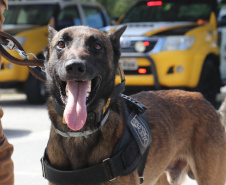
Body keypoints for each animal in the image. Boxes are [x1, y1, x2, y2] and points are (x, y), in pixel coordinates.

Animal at [42, 24, 226, 185]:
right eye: (61, 44)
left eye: (97, 46)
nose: (74, 66)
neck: (80, 133)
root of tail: (207, 102)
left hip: (210, 177)